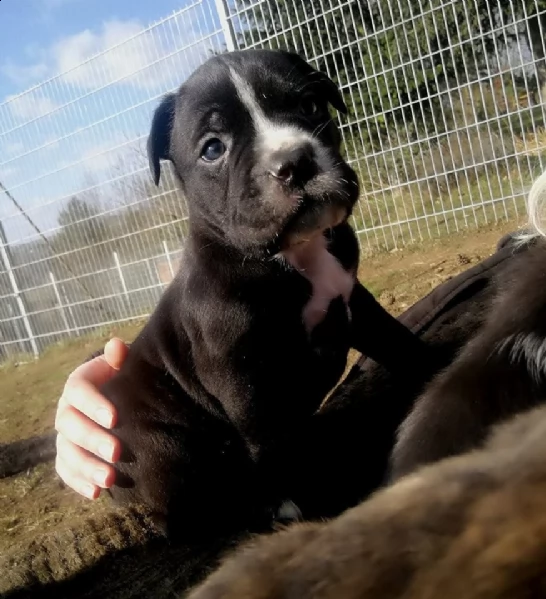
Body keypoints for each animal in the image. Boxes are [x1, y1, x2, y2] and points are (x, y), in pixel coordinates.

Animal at [100, 48, 428, 536]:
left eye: (311, 106)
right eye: (212, 148)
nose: (294, 161)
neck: (294, 252)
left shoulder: (354, 298)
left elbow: (396, 340)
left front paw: (437, 363)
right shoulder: (240, 372)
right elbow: (269, 439)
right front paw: (298, 502)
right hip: (160, 448)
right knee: (184, 511)